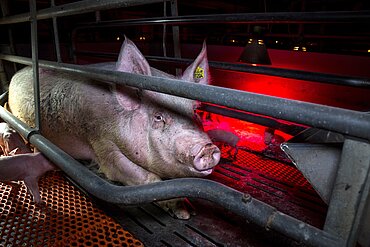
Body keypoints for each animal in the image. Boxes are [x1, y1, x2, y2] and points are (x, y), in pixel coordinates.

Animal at [7, 37, 220, 219]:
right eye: (158, 117)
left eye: (195, 111)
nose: (207, 148)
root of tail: (17, 72)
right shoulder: (101, 142)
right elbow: (139, 176)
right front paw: (184, 213)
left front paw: (191, 211)